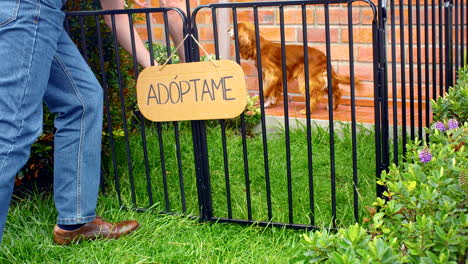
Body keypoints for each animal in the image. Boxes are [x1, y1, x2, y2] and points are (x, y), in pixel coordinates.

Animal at [229, 21, 358, 113]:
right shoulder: (272, 77)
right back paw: (333, 106)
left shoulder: (272, 74)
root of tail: (324, 57)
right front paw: (268, 103)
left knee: (315, 95)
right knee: (337, 91)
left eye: (234, 27)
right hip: (323, 79)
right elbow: (272, 91)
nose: (227, 29)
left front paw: (259, 101)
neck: (258, 46)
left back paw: (306, 111)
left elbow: (265, 90)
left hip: (308, 79)